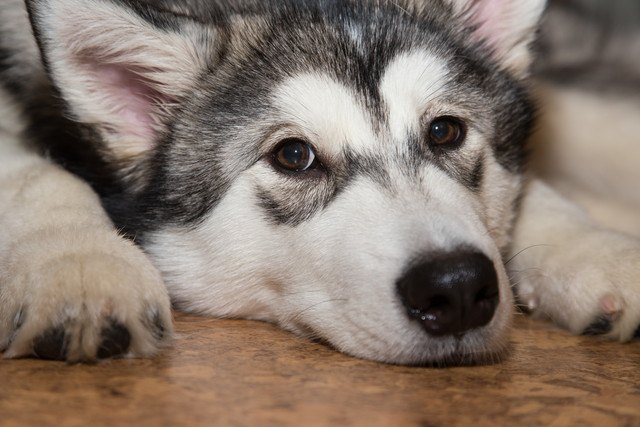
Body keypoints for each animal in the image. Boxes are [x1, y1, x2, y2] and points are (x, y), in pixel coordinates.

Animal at [0, 0, 636, 366]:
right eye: (294, 156)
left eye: (445, 131)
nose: (455, 287)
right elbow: (33, 173)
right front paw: (80, 268)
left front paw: (595, 249)